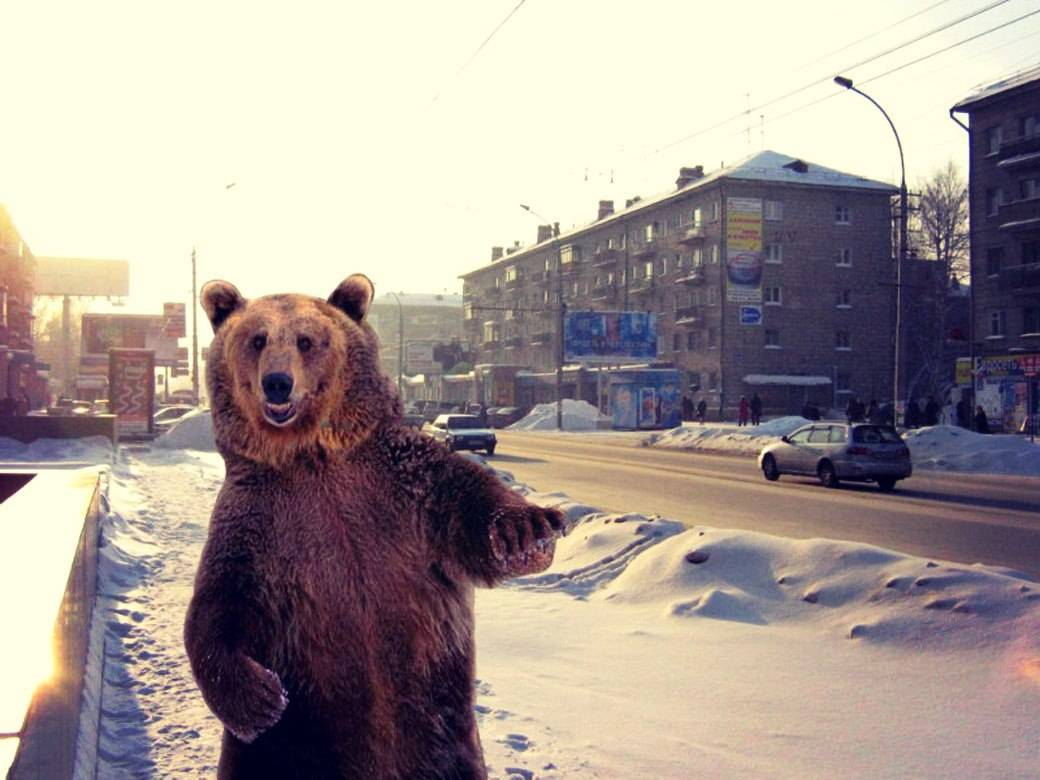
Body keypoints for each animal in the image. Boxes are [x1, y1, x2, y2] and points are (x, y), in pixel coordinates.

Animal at [183, 276, 565, 780]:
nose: (278, 383)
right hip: (284, 752)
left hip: (439, 736)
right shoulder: (256, 523)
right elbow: (218, 605)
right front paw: (260, 699)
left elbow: (467, 503)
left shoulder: (405, 486)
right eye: (257, 339)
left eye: (307, 340)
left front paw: (525, 531)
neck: (315, 458)